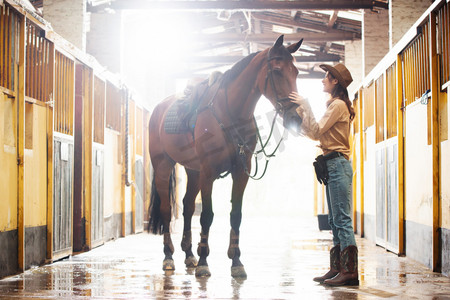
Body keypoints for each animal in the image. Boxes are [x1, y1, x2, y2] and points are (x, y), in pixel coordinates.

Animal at [148, 35, 302, 278]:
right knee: (166, 210)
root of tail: (159, 110)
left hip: (194, 171)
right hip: (164, 166)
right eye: (277, 71)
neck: (230, 115)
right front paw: (204, 261)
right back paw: (169, 257)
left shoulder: (241, 172)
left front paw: (236, 261)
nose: (296, 117)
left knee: (188, 206)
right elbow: (207, 216)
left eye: (295, 72)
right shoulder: (209, 172)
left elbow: (235, 215)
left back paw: (188, 254)